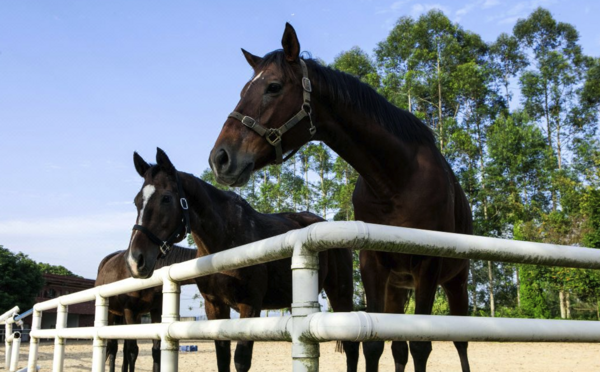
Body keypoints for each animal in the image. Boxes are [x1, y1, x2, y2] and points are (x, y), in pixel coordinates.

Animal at [127, 148, 358, 372]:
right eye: (137, 201)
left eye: (166, 198)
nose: (135, 260)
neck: (223, 247)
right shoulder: (215, 307)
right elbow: (222, 359)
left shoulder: (250, 306)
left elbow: (241, 361)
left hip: (341, 295)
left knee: (352, 347)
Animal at [209, 24, 476, 372]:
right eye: (244, 90)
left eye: (273, 87)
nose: (220, 158)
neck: (397, 180)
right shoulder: (374, 266)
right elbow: (375, 346)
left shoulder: (427, 267)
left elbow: (422, 347)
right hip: (397, 289)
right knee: (399, 349)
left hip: (456, 282)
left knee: (460, 343)